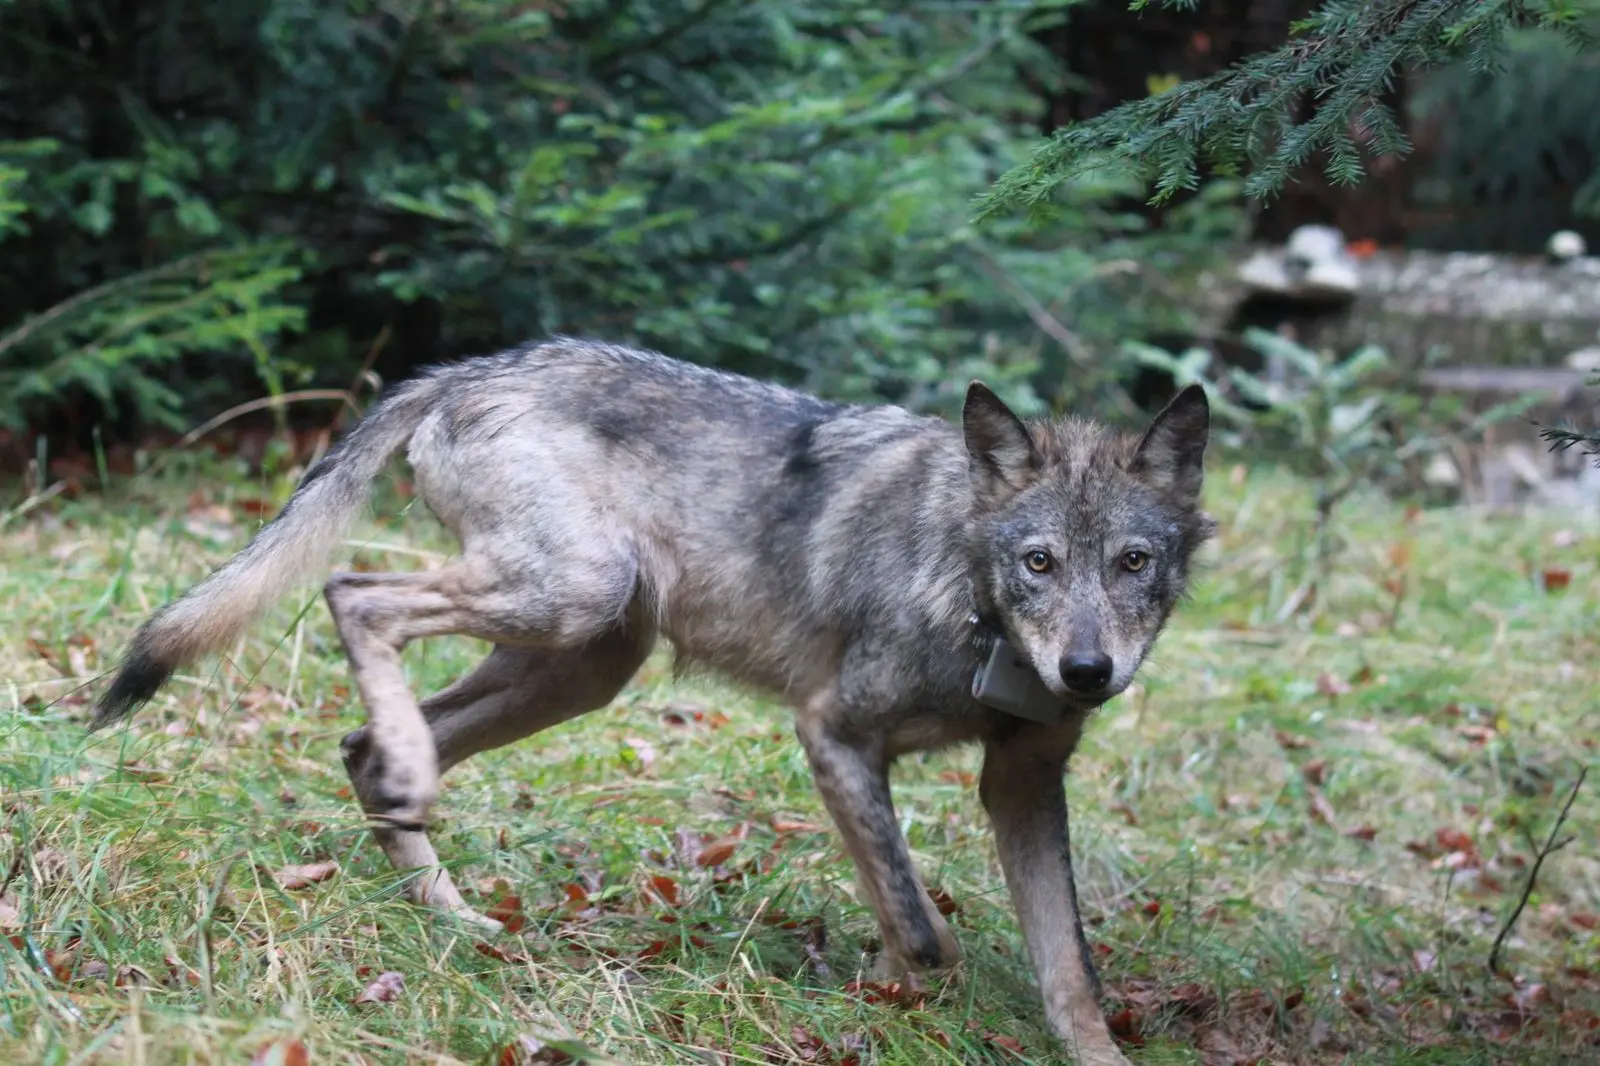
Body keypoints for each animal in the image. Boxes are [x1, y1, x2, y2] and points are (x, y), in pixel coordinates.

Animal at [93, 336, 1212, 1066]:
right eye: (1037, 562)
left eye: (1133, 564)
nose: (1087, 672)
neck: (970, 599)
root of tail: (477, 365)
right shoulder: (833, 733)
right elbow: (921, 924)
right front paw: (904, 1013)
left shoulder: (1022, 781)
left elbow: (1070, 971)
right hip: (567, 602)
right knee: (352, 594)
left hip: (584, 660)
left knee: (359, 745)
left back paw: (455, 916)